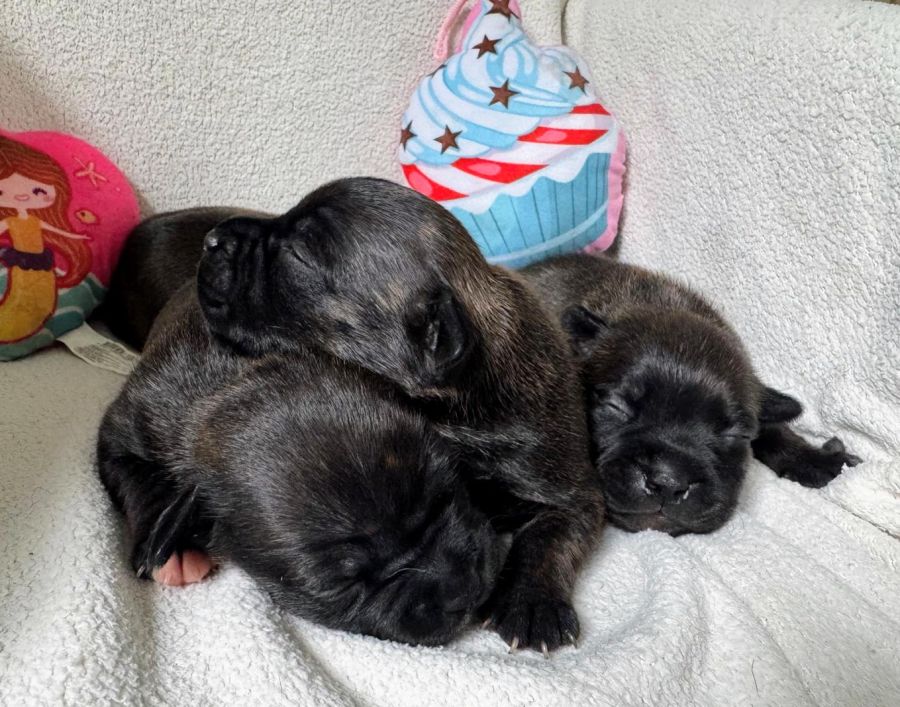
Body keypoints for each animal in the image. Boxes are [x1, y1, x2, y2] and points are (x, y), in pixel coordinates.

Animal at [97, 280, 504, 647]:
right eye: (343, 583)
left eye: (445, 494)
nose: (464, 590)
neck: (234, 386)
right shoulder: (122, 428)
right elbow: (135, 477)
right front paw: (167, 541)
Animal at [165, 178, 604, 653]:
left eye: (298, 255)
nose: (212, 239)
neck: (455, 405)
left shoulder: (567, 484)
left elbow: (551, 534)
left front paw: (532, 603)